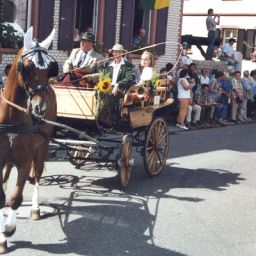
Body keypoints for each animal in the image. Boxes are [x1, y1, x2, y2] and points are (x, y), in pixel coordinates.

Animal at [0, 27, 57, 253]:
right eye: (28, 67)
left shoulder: (24, 160)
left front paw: (8, 230)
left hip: (42, 147)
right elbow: (1, 196)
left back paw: (35, 209)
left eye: (50, 69)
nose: (40, 108)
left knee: (38, 175)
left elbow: (15, 198)